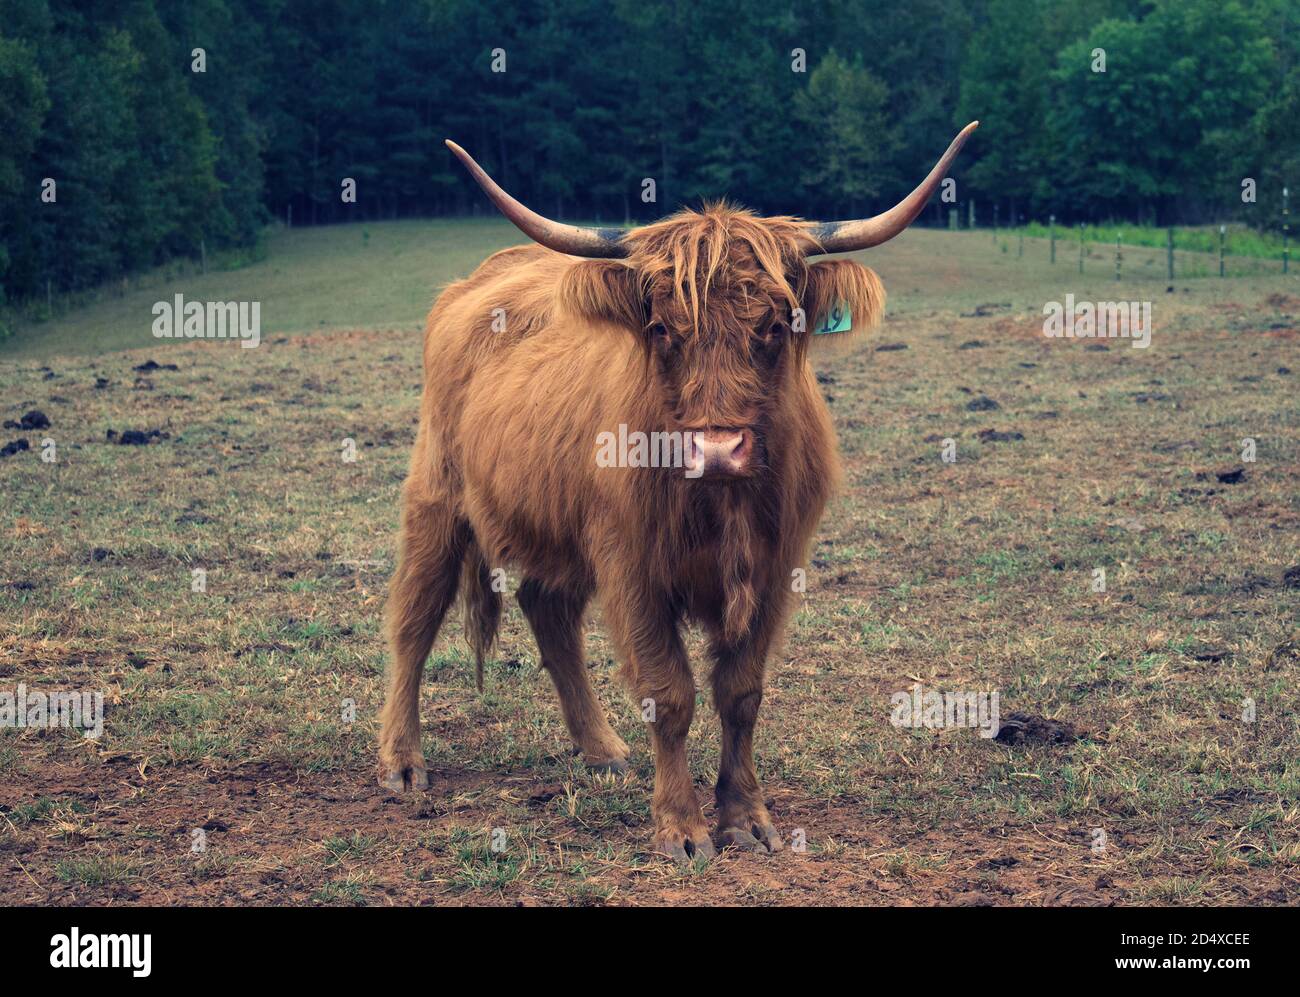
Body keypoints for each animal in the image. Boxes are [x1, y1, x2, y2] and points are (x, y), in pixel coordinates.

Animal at [377, 122, 977, 857]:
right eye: (662, 328)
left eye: (774, 326)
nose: (716, 449)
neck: (719, 505)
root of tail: (482, 275)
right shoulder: (631, 564)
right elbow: (671, 694)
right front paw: (682, 827)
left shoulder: (775, 567)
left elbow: (741, 692)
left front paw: (745, 816)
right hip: (436, 494)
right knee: (415, 614)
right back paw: (403, 761)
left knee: (548, 609)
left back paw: (602, 748)